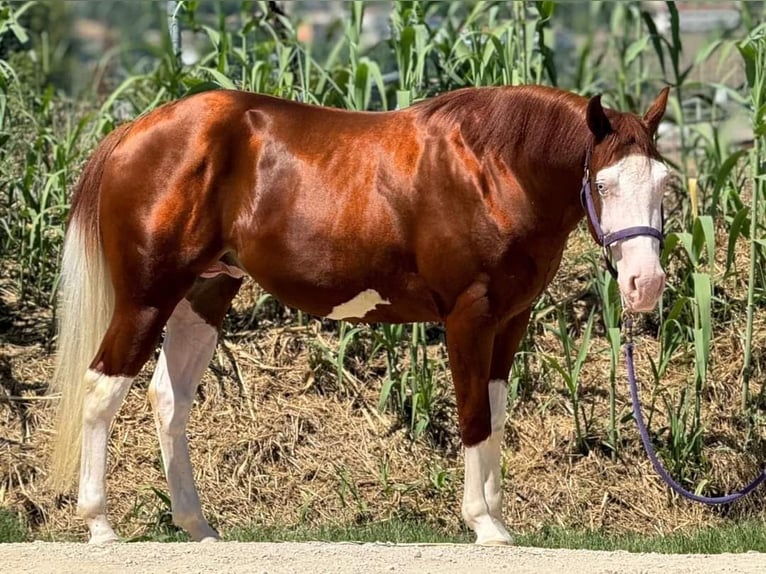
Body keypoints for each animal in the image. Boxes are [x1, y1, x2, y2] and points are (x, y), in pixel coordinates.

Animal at [51, 84, 668, 544]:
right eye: (604, 183)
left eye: (664, 183)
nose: (646, 284)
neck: (493, 171)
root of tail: (134, 131)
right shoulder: (469, 318)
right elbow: (473, 416)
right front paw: (484, 527)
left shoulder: (510, 322)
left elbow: (494, 414)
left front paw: (498, 519)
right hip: (147, 298)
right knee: (101, 388)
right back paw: (100, 526)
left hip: (203, 296)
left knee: (168, 399)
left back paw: (197, 526)